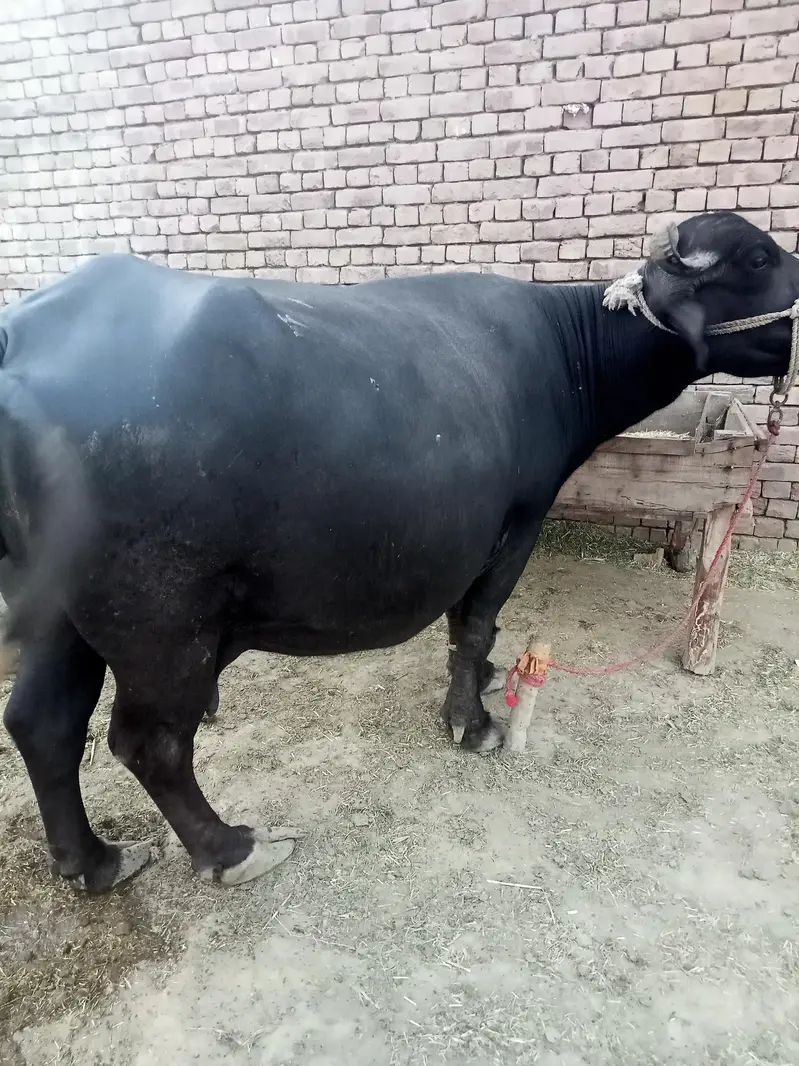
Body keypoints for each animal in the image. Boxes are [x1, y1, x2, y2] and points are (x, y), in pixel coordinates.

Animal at [1, 211, 797, 892]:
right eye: (759, 257)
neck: (565, 352)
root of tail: (22, 343)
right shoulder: (515, 525)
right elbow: (475, 625)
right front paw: (472, 723)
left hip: (56, 609)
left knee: (41, 722)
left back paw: (95, 861)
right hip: (160, 622)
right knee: (150, 742)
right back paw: (232, 849)